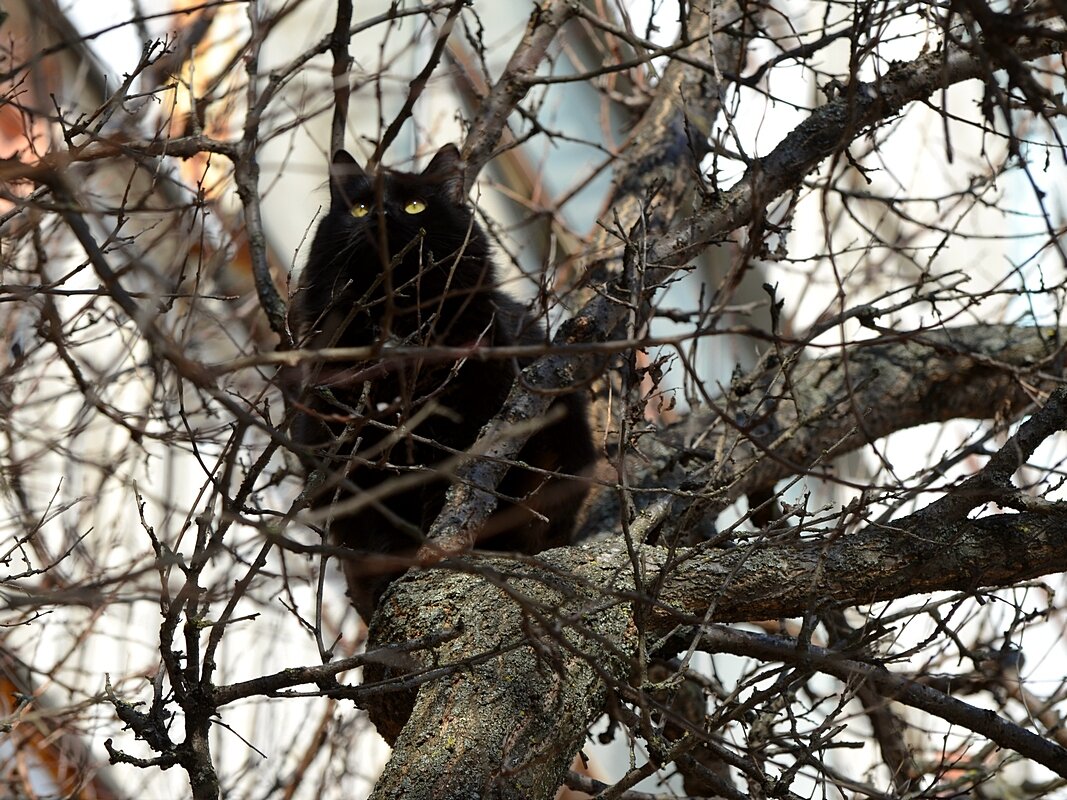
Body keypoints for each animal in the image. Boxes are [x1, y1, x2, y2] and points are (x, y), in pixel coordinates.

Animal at [292, 144, 593, 618]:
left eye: (415, 205)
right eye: (360, 207)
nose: (381, 215)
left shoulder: (471, 429)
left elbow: (451, 505)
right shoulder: (351, 457)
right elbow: (382, 530)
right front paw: (389, 582)